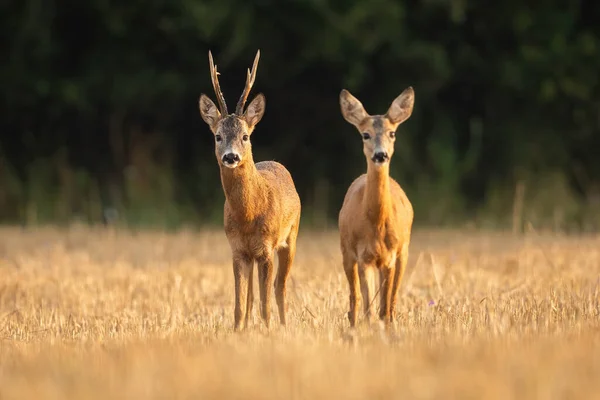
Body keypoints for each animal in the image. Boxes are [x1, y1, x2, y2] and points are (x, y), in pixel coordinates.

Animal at [198, 50, 300, 332]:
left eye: (245, 136)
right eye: (218, 136)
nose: (231, 157)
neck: (248, 215)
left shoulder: (266, 248)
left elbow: (266, 303)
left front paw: (268, 331)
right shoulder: (237, 250)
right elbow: (239, 303)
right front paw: (238, 332)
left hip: (291, 238)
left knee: (280, 288)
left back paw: (284, 326)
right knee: (253, 296)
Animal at [338, 86, 418, 326]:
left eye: (392, 133)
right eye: (365, 135)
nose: (380, 155)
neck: (377, 223)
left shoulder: (391, 256)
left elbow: (384, 306)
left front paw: (386, 327)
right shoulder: (362, 255)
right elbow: (369, 307)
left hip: (404, 252)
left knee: (391, 301)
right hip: (346, 251)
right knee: (354, 299)